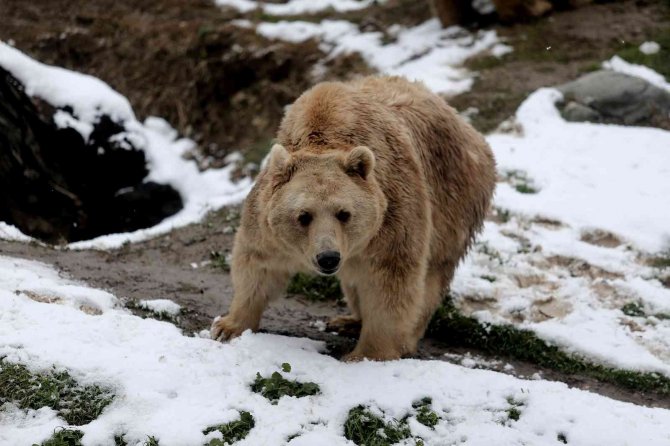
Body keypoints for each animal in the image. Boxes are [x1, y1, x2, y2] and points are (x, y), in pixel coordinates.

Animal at [213, 76, 496, 360]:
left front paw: (368, 353)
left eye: (344, 213)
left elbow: (390, 281)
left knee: (431, 278)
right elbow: (258, 265)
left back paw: (404, 338)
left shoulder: (392, 216)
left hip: (454, 204)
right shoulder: (268, 225)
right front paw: (227, 327)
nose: (328, 258)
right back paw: (348, 321)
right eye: (303, 216)